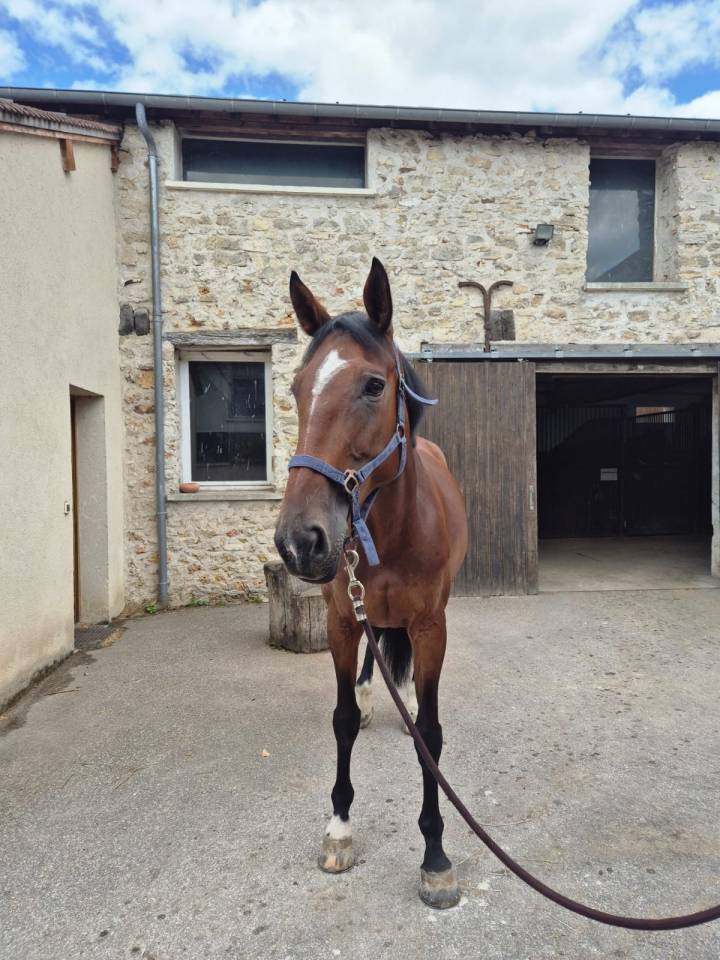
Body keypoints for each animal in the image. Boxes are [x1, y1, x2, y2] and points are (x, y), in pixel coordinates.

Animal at [274, 258, 468, 909]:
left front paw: (435, 856)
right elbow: (338, 718)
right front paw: (339, 829)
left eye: (374, 386)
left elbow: (429, 733)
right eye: (296, 388)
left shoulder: (431, 627)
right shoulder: (340, 620)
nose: (298, 540)